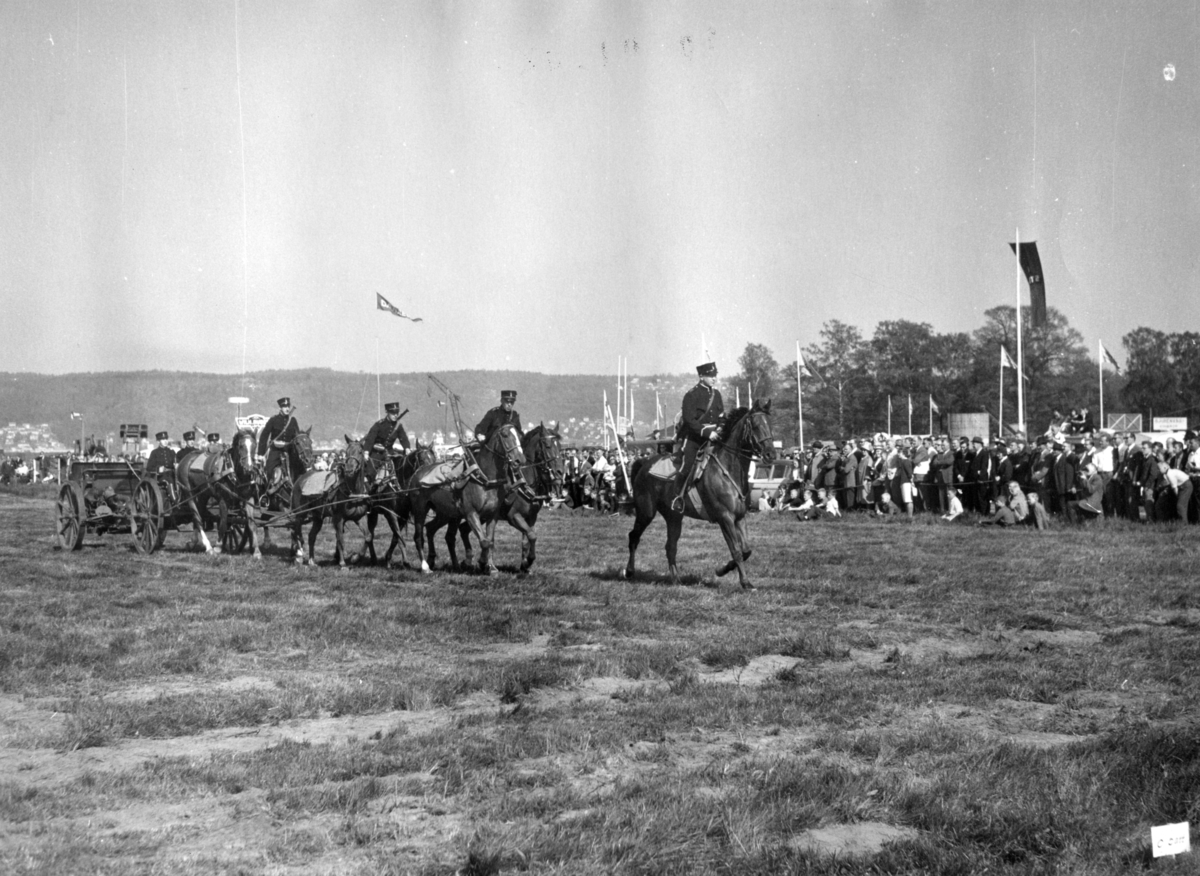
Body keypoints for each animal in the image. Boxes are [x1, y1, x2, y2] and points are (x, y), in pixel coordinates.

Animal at [288, 432, 367, 566]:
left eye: (360, 452)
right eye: (347, 451)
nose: (349, 469)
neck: (351, 491)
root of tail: (300, 478)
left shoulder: (357, 518)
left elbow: (368, 536)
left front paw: (356, 557)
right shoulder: (338, 518)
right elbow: (340, 540)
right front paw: (342, 563)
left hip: (317, 517)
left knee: (311, 536)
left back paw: (311, 561)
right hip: (300, 513)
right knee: (297, 531)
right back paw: (299, 555)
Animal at [624, 398, 772, 590]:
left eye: (769, 424)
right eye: (755, 425)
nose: (771, 454)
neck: (727, 470)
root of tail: (644, 463)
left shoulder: (739, 517)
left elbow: (746, 550)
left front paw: (722, 570)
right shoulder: (725, 518)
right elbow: (737, 551)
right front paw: (745, 582)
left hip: (674, 517)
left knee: (670, 547)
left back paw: (676, 580)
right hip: (645, 512)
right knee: (634, 537)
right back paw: (629, 571)